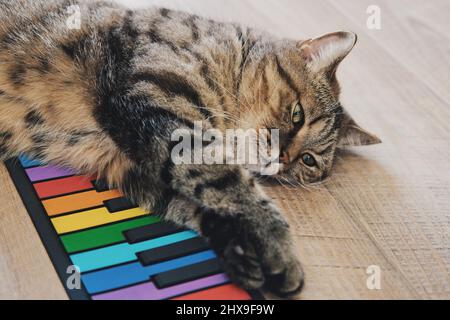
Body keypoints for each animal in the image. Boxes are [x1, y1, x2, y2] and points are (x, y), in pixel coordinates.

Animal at [0, 0, 380, 298]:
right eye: (297, 115)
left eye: (309, 160)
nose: (283, 159)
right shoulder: (161, 111)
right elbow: (231, 184)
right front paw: (278, 248)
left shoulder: (131, 166)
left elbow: (196, 201)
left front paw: (242, 253)